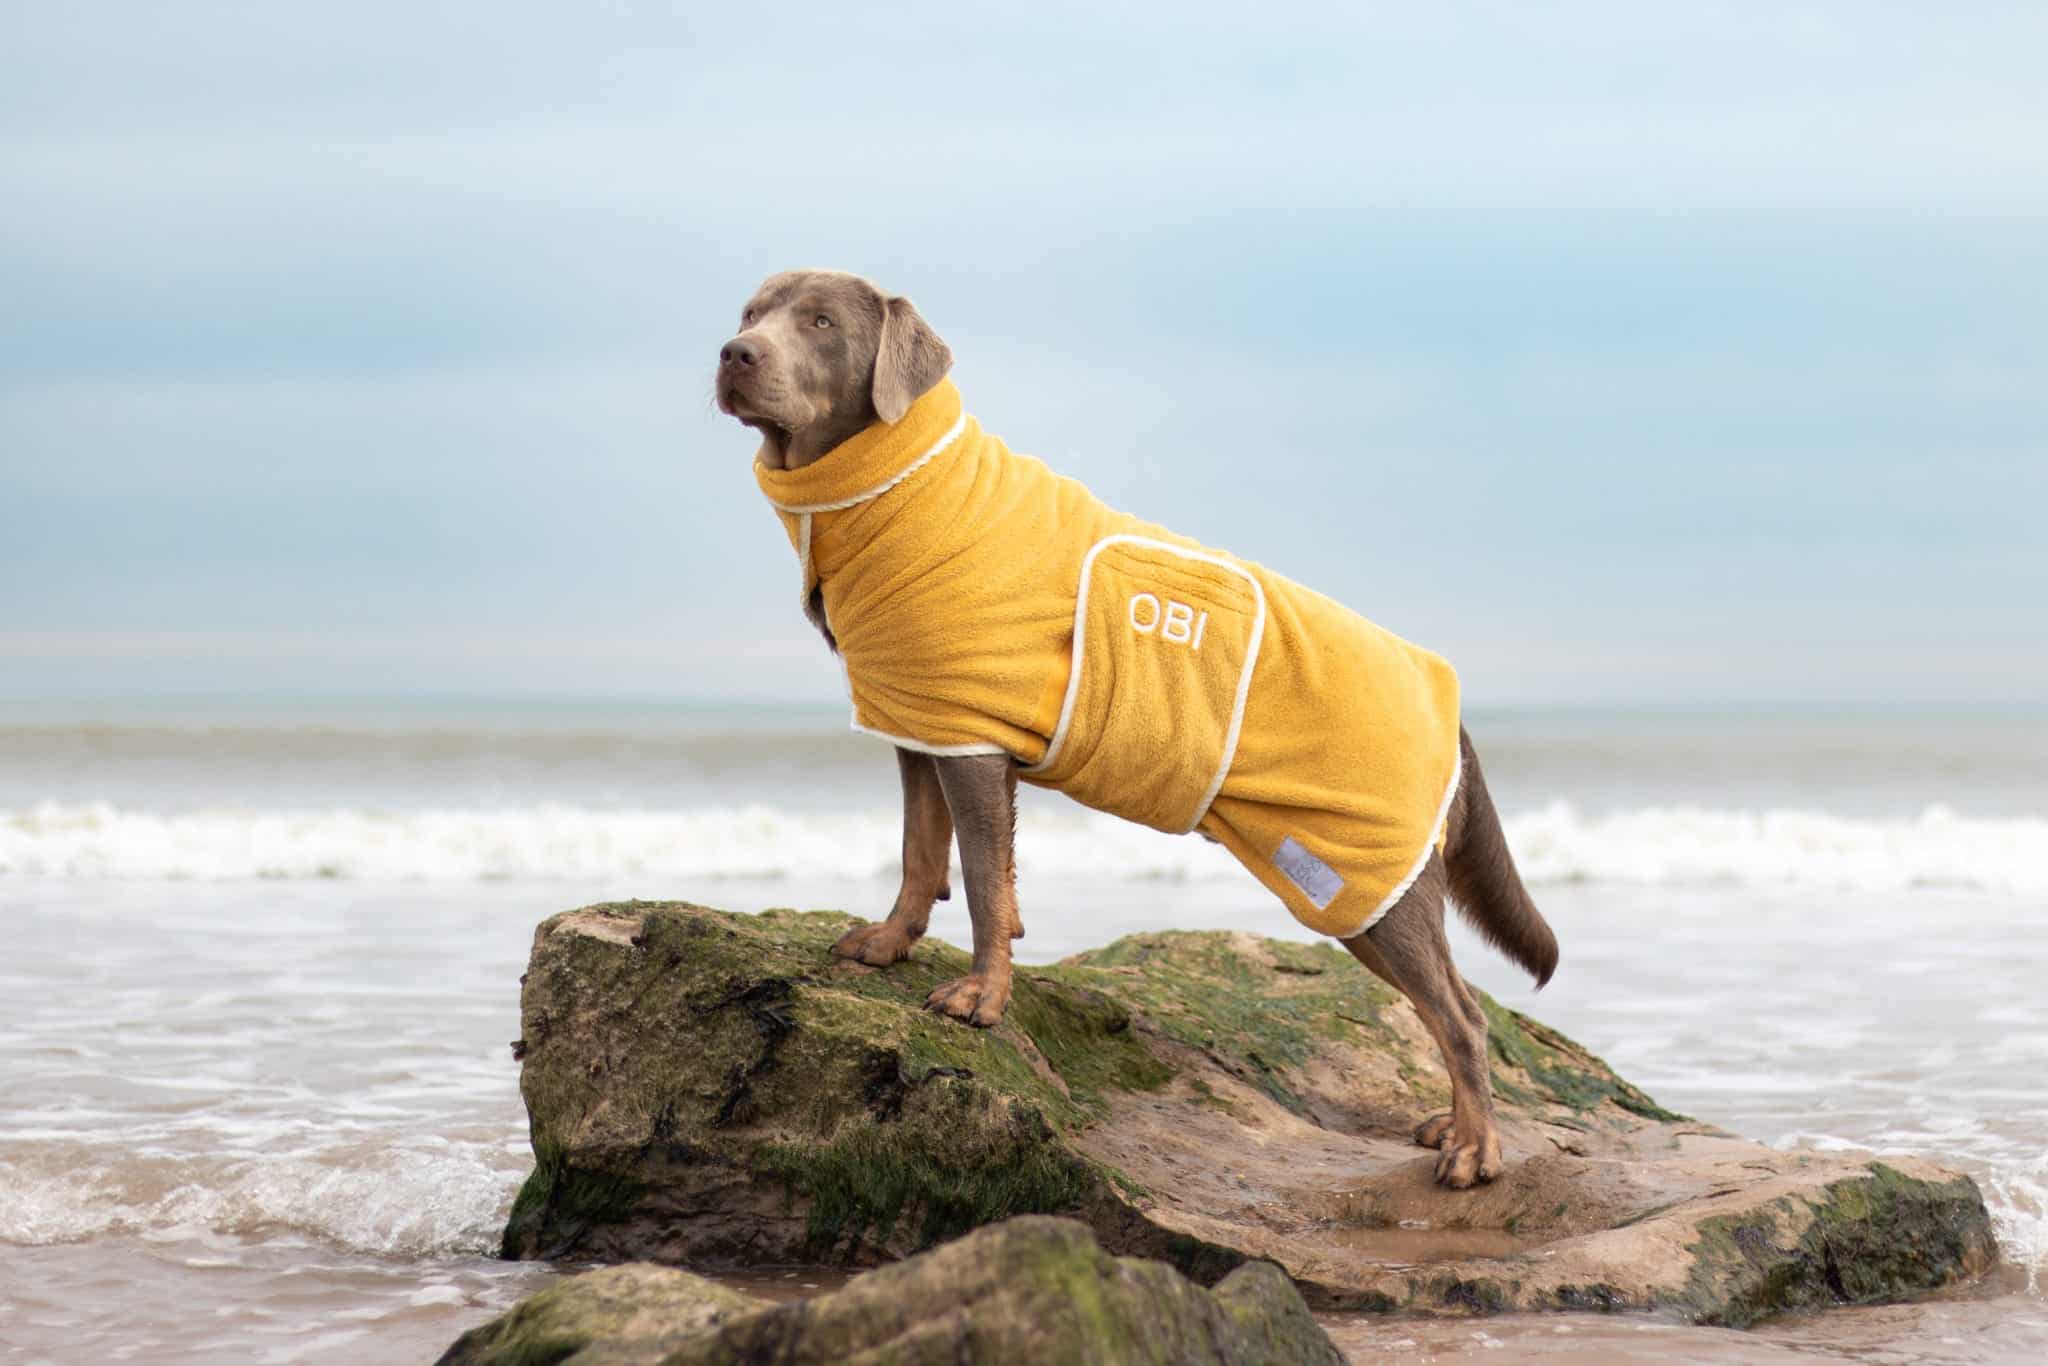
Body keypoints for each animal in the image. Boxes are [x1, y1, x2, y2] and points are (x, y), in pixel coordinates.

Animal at [716, 270, 1548, 1187]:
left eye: (822, 323)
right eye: (751, 313)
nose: (735, 353)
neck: (897, 486)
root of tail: (1448, 700)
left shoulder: (972, 740)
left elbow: (983, 879)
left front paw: (980, 999)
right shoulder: (921, 723)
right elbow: (919, 851)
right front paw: (891, 941)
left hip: (1366, 880)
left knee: (1463, 1017)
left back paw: (1475, 1147)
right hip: (1358, 891)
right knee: (1444, 1007)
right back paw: (1450, 1125)